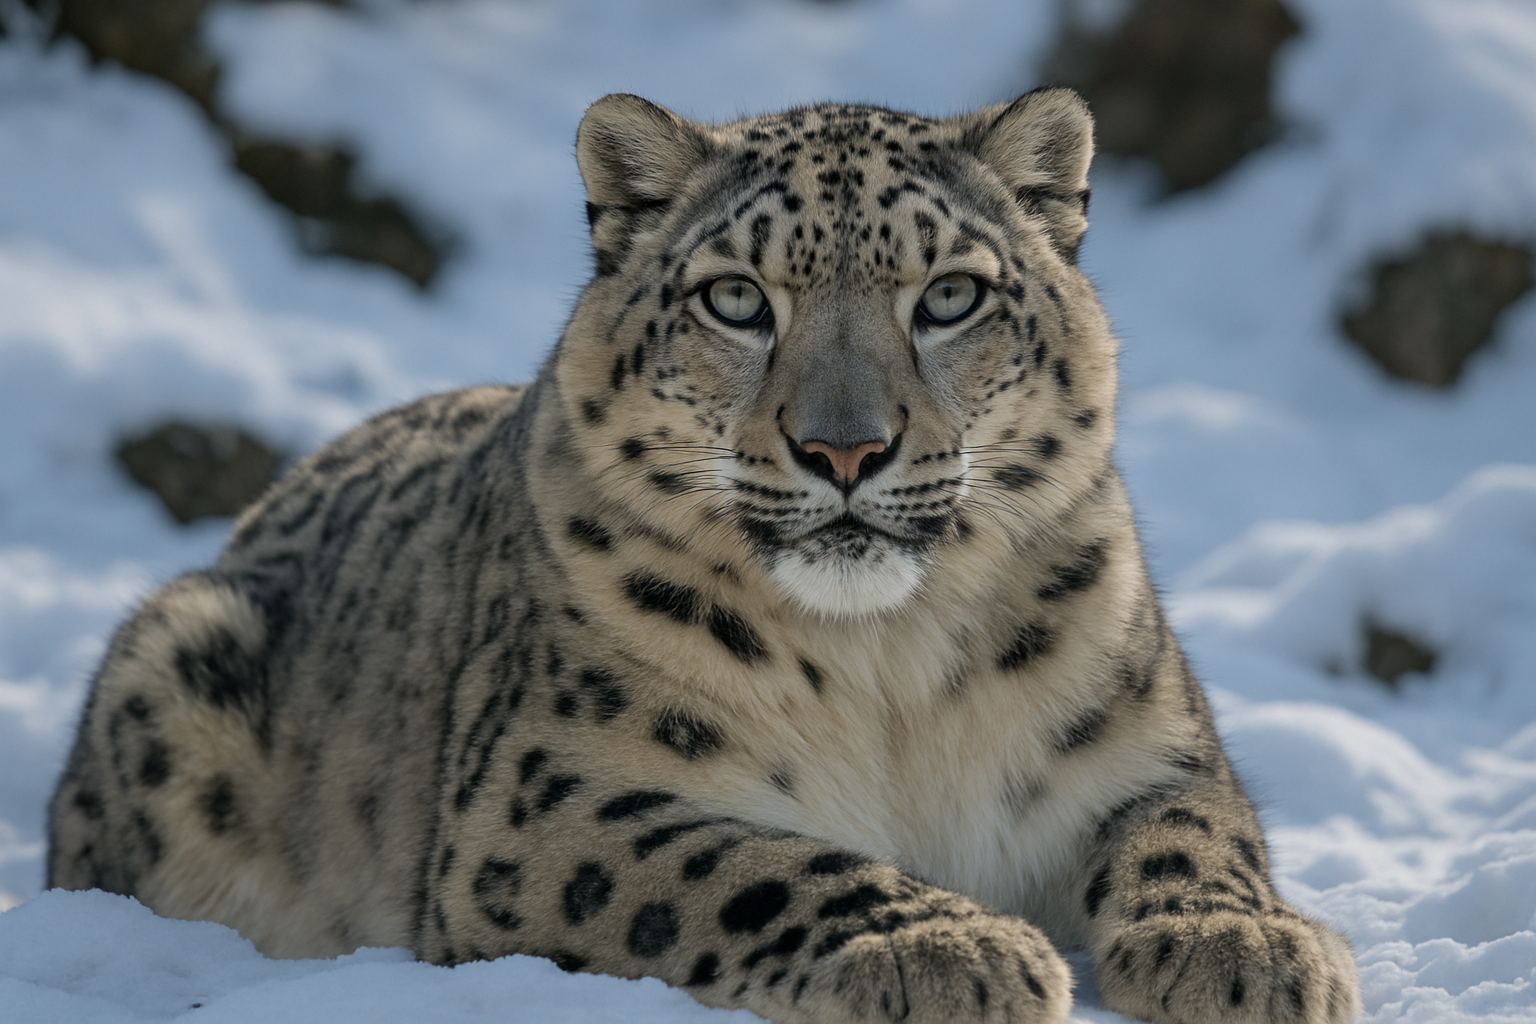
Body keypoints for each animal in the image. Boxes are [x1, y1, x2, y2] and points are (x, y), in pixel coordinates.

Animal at [47, 89, 1361, 1024]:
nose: (845, 449)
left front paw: (1242, 945)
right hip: (177, 651)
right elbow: (754, 858)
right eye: (737, 298)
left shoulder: (1152, 739)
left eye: (949, 296)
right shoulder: (546, 799)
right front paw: (948, 944)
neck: (890, 670)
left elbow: (1193, 826)